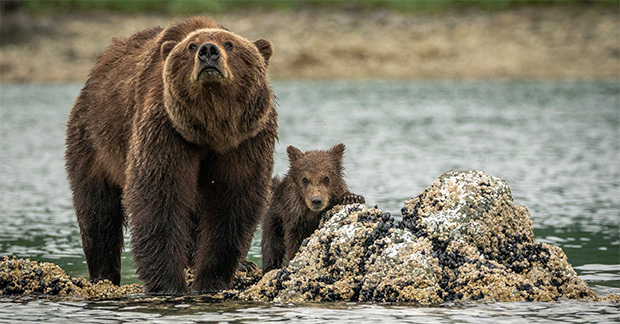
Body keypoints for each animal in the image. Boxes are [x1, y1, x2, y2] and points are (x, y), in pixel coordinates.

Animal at [65, 17, 276, 296]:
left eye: (230, 44)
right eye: (191, 46)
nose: (208, 51)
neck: (212, 126)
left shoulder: (247, 138)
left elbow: (232, 200)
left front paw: (212, 279)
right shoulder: (165, 129)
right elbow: (159, 197)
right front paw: (169, 283)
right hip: (93, 137)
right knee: (98, 211)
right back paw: (103, 275)